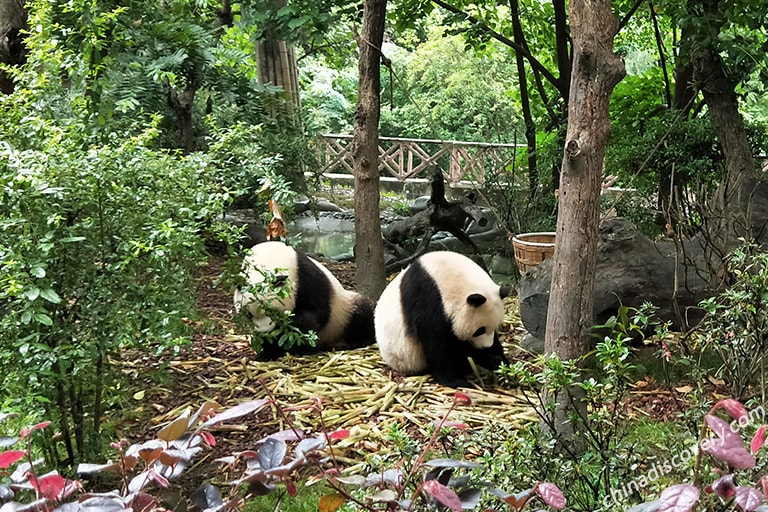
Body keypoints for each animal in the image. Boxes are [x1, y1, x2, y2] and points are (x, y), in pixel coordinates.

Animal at [236, 241, 376, 358]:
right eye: (248, 315)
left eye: (273, 312)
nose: (264, 332)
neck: (269, 257)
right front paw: (269, 349)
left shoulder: (305, 276)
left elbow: (315, 313)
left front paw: (288, 329)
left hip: (343, 311)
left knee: (362, 311)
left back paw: (360, 340)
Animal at [374, 250, 510, 386]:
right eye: (480, 330)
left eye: (496, 327)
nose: (486, 346)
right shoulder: (428, 300)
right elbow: (437, 345)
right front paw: (455, 380)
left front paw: (500, 360)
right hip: (404, 357)